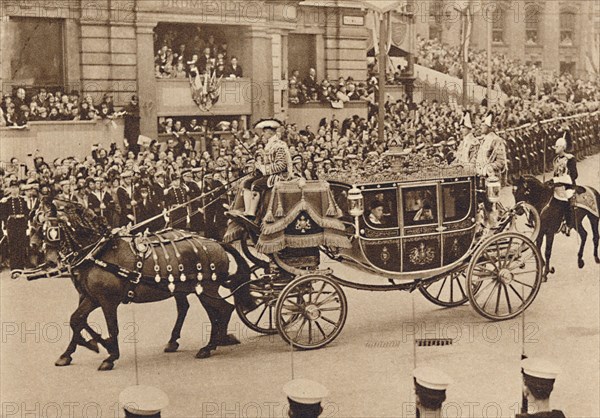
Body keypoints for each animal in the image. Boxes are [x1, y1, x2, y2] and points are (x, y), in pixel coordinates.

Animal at [16, 201, 255, 370]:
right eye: (33, 226)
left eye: (47, 227)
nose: (37, 249)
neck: (99, 252)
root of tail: (216, 242)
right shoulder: (89, 297)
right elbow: (77, 320)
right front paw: (76, 350)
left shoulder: (107, 301)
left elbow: (111, 327)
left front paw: (109, 353)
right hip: (188, 288)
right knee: (199, 310)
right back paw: (199, 341)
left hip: (206, 288)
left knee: (223, 310)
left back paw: (212, 344)